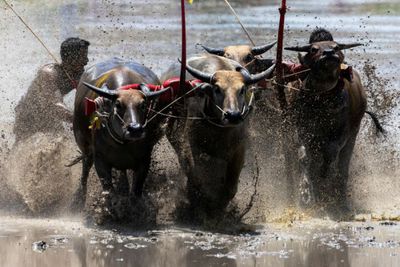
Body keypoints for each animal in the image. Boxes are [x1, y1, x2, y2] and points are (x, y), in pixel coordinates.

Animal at [72, 57, 170, 213]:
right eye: (118, 104)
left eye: (143, 105)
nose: (135, 129)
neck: (123, 144)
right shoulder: (100, 159)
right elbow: (109, 190)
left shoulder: (144, 159)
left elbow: (136, 191)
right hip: (84, 146)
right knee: (85, 168)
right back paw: (80, 198)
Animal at [160, 54, 276, 218]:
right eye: (217, 89)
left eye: (241, 89)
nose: (233, 115)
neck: (219, 129)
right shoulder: (192, 144)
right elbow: (196, 176)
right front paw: (201, 203)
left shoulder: (239, 150)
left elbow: (230, 187)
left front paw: (220, 207)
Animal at [284, 40, 366, 216]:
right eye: (314, 49)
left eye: (336, 47)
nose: (329, 53)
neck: (321, 100)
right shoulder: (302, 129)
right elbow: (304, 156)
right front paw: (305, 194)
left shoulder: (343, 133)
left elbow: (330, 153)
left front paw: (322, 174)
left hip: (353, 137)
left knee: (343, 167)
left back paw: (342, 200)